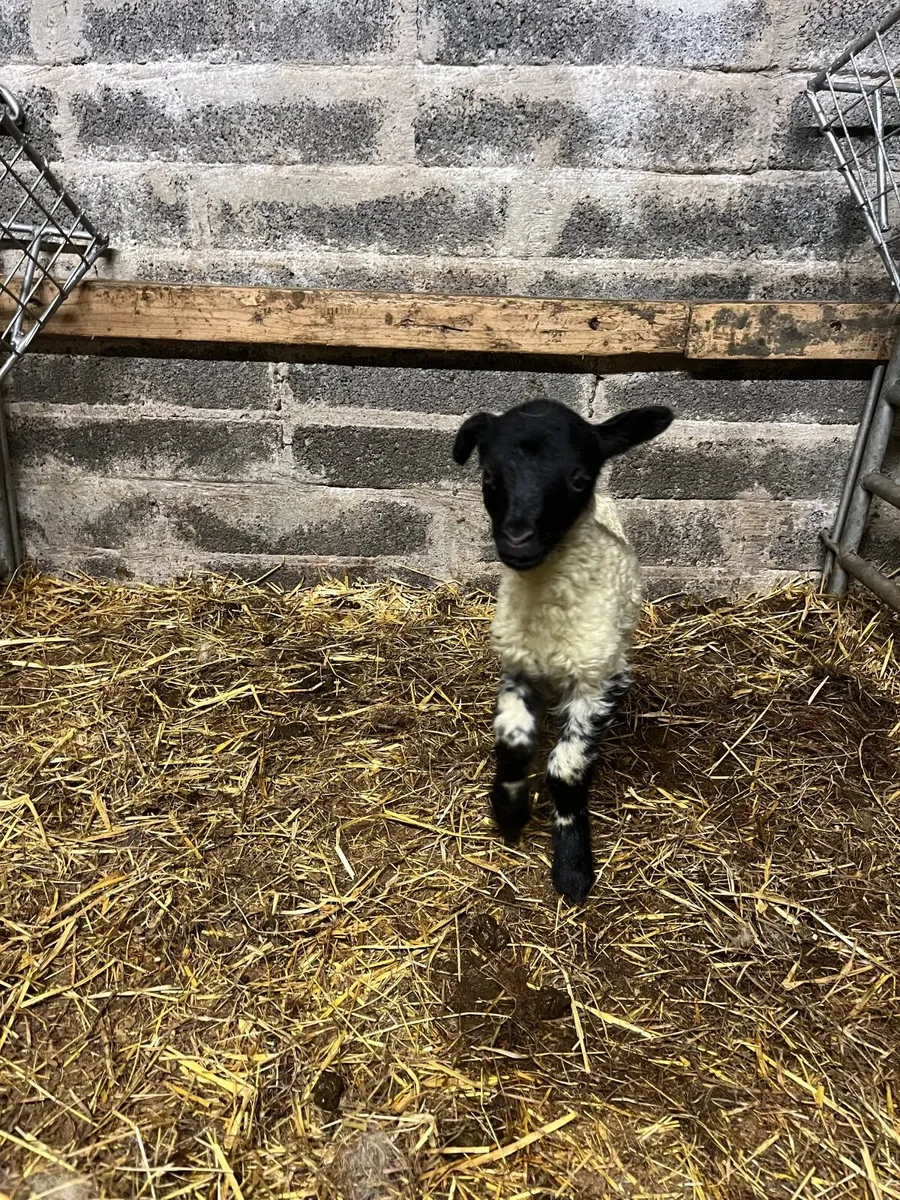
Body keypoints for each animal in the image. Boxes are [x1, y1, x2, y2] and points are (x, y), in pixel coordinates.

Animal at [453, 398, 673, 903]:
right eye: (489, 474)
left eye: (577, 478)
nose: (517, 540)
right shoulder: (518, 666)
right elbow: (514, 743)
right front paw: (509, 809)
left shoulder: (596, 680)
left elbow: (566, 770)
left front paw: (573, 867)